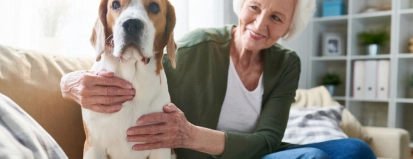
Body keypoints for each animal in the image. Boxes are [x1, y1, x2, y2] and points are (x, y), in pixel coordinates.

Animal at [81, 0, 175, 158]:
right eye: (115, 4)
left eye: (154, 7)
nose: (132, 24)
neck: (133, 78)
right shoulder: (93, 147)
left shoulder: (161, 148)